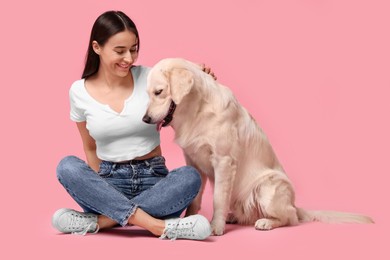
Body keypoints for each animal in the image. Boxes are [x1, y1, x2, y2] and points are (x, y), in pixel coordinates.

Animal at [142, 57, 374, 236]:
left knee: (290, 218)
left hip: (268, 187)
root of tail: (294, 204)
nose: (145, 119)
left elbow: (218, 199)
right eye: (148, 93)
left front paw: (215, 227)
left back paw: (266, 222)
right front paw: (190, 220)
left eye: (159, 92)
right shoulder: (193, 161)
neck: (197, 110)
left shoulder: (224, 161)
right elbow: (194, 199)